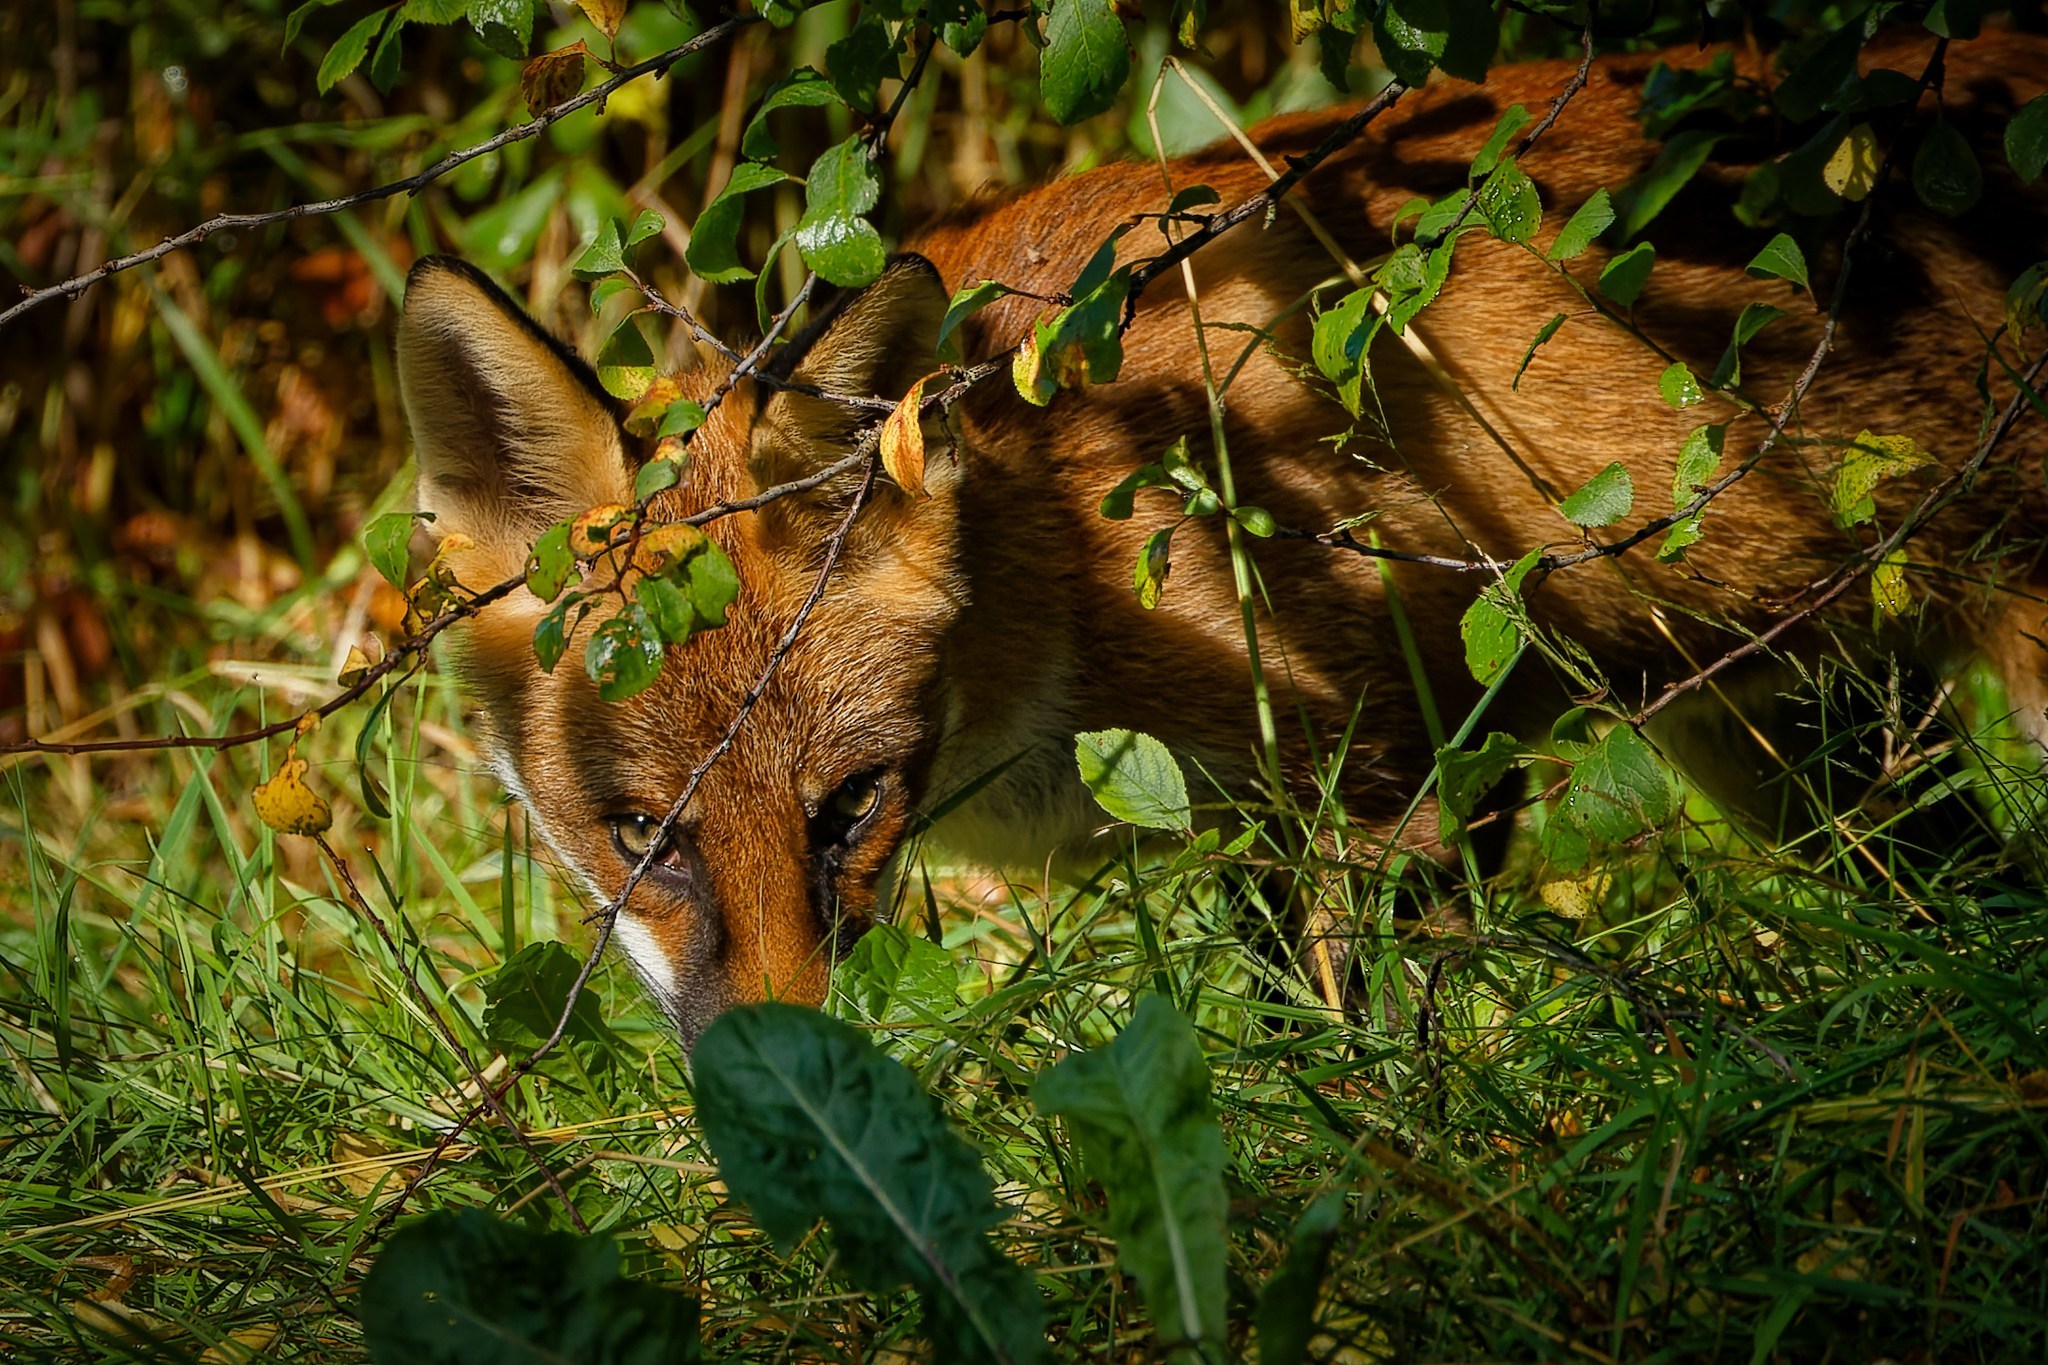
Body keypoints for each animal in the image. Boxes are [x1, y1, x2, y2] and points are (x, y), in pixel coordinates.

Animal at [395, 31, 2048, 1039]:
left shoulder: (1412, 759)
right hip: (1806, 770)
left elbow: (1362, 1052)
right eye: (638, 834)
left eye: (849, 804)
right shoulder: (1247, 828)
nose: (790, 1089)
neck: (1066, 583)